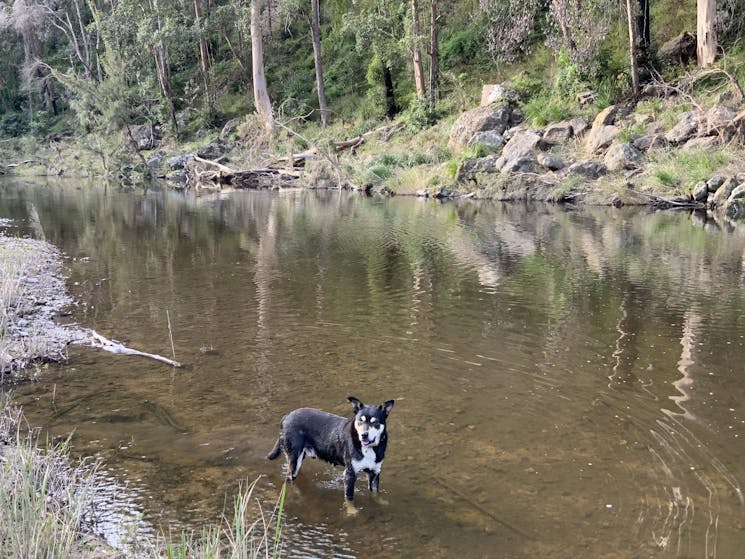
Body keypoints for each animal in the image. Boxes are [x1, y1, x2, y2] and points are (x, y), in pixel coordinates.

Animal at [268, 396, 396, 500]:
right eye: (360, 420)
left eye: (375, 422)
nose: (364, 435)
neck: (368, 448)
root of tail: (287, 416)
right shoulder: (350, 474)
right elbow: (350, 501)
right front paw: (352, 513)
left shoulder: (374, 472)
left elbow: (375, 495)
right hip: (294, 459)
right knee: (289, 479)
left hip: (299, 458)